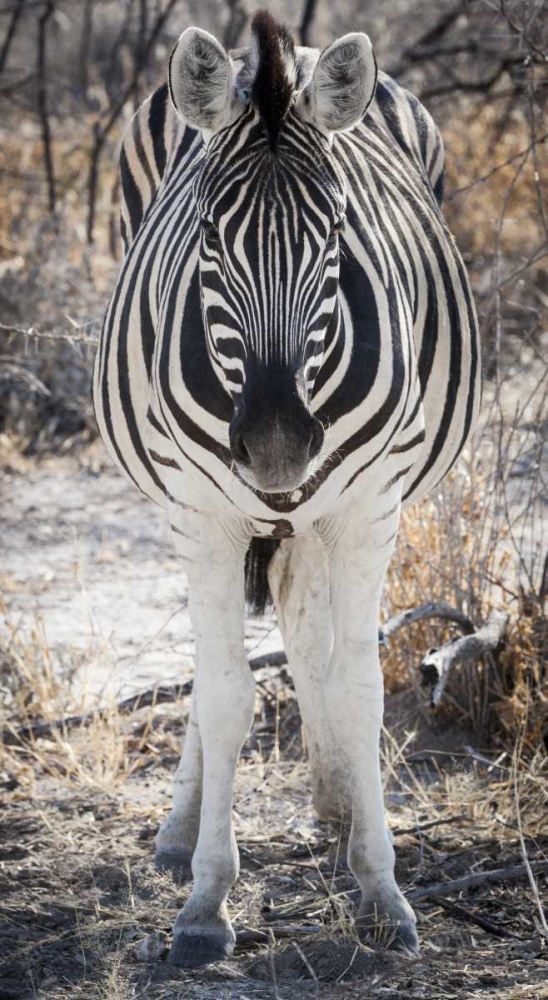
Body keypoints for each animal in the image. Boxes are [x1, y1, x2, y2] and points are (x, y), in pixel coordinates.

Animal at [93, 9, 480, 968]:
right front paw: (205, 904)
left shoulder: (368, 510)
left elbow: (361, 687)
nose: (273, 445)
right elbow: (226, 693)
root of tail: (290, 55)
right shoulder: (203, 515)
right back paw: (183, 831)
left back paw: (340, 805)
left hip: (316, 515)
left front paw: (381, 888)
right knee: (224, 665)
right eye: (206, 235)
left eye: (337, 231)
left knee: (312, 646)